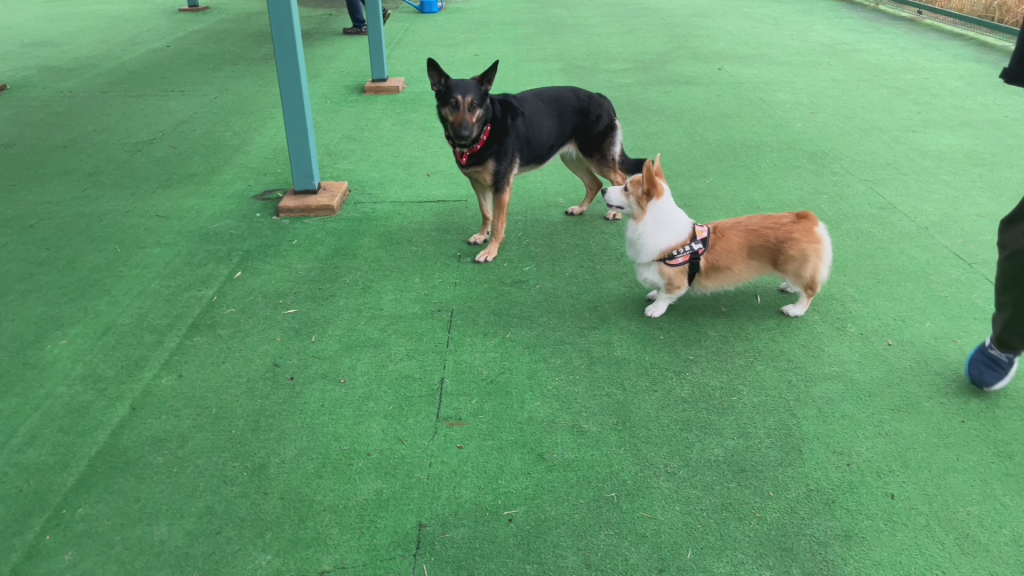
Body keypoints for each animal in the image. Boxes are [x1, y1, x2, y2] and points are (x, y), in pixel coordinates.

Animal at [426, 58, 647, 263]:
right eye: (452, 104)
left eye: (474, 106)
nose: (463, 135)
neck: (487, 127)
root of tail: (600, 96)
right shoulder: (479, 184)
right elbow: (486, 213)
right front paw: (482, 235)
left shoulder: (502, 187)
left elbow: (498, 223)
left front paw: (491, 251)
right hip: (572, 158)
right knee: (595, 183)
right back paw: (580, 209)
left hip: (596, 158)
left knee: (619, 178)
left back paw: (616, 213)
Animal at [602, 155, 833, 318]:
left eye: (625, 188)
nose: (603, 189)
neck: (650, 223)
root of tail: (807, 219)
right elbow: (658, 289)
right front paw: (653, 294)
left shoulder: (675, 283)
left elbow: (665, 296)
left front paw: (655, 308)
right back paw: (788, 288)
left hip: (796, 269)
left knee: (810, 290)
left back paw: (795, 310)